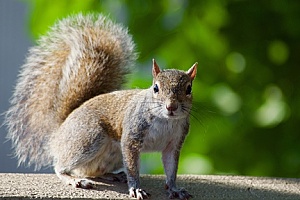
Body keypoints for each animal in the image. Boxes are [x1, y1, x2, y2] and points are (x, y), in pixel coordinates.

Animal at [5, 13, 197, 199]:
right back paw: (74, 180)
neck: (165, 121)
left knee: (93, 170)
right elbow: (133, 168)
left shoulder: (174, 143)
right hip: (88, 138)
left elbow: (171, 169)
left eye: (189, 89)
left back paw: (113, 175)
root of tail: (58, 133)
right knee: (61, 167)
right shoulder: (132, 136)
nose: (171, 107)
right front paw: (135, 188)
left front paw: (174, 189)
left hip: (112, 155)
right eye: (155, 88)